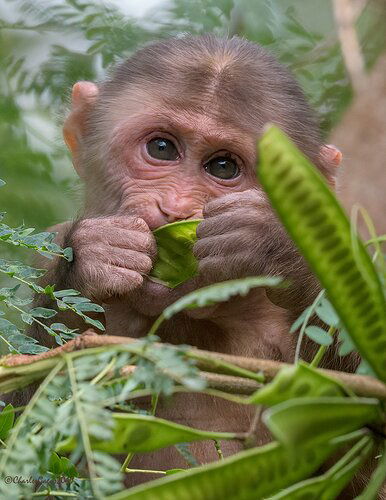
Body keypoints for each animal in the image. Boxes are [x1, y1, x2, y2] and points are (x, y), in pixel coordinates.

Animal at [4, 34, 382, 496]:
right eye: (162, 148)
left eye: (223, 166)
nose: (176, 208)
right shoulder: (50, 245)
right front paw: (95, 259)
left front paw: (272, 244)